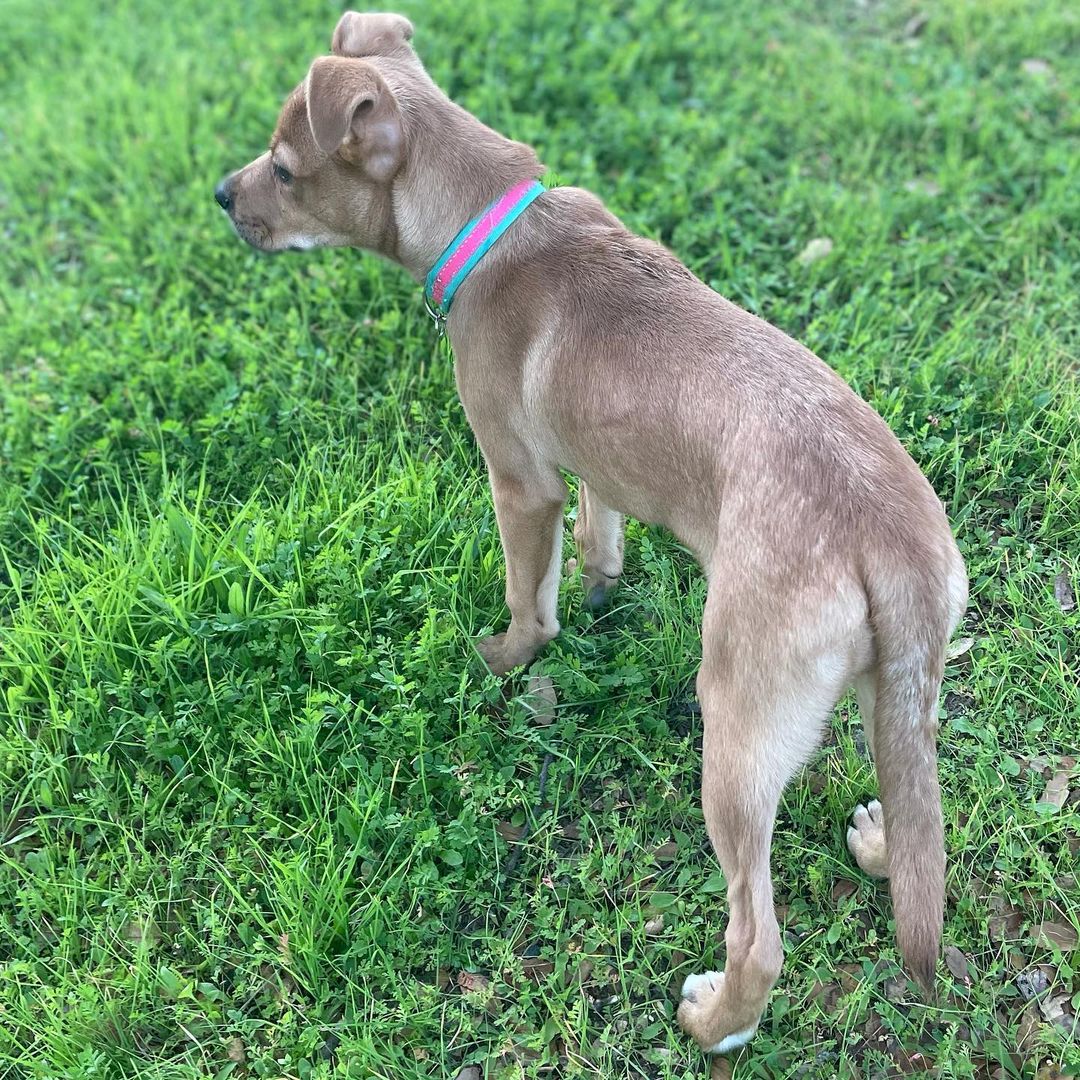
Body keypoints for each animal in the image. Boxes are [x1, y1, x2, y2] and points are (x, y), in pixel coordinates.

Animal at [217, 8, 972, 1054]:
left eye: (285, 171)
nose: (222, 196)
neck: (490, 223)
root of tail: (887, 539)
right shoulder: (593, 459)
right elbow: (599, 525)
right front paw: (601, 582)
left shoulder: (520, 481)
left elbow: (527, 597)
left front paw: (506, 657)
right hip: (901, 694)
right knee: (921, 827)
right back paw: (878, 847)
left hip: (737, 726)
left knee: (759, 932)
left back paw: (715, 1022)